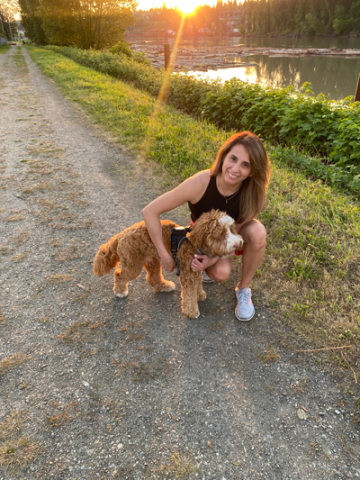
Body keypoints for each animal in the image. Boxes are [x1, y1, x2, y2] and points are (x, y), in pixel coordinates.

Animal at [93, 210, 245, 318]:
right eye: (221, 234)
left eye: (232, 229)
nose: (238, 244)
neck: (194, 243)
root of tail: (121, 235)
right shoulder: (188, 275)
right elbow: (189, 294)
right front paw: (192, 311)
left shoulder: (196, 271)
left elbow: (197, 286)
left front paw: (200, 295)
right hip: (133, 264)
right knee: (118, 274)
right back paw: (120, 292)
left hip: (152, 260)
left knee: (153, 278)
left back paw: (164, 286)